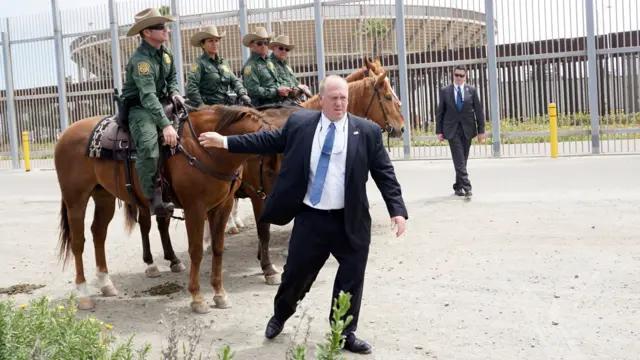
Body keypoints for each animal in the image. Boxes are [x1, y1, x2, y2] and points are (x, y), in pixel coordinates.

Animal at [55, 100, 276, 312]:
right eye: (270, 170)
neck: (206, 150)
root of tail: (66, 133)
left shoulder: (223, 206)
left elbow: (218, 248)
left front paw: (220, 294)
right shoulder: (195, 208)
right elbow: (196, 250)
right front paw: (197, 298)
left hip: (104, 197)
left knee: (99, 233)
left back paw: (105, 283)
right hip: (76, 200)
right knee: (78, 242)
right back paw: (84, 294)